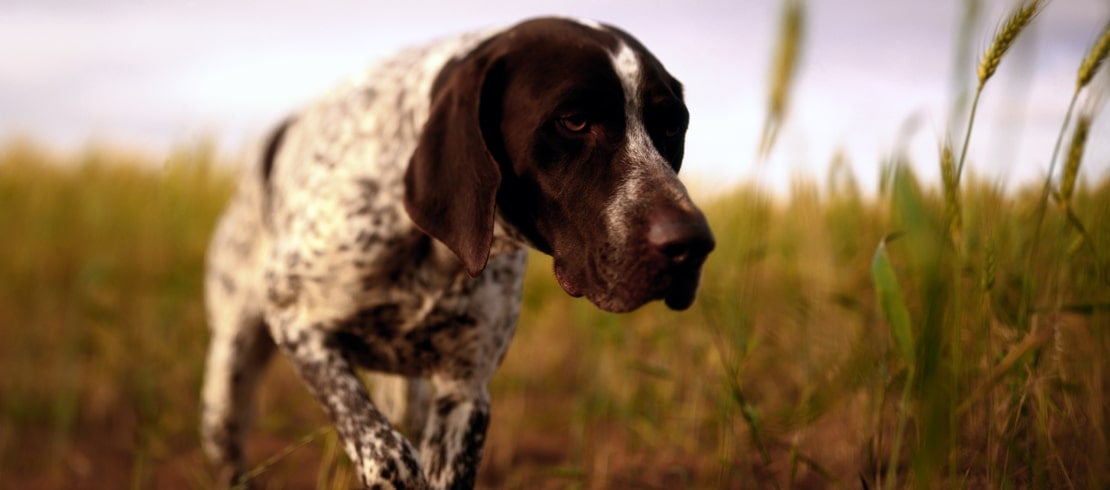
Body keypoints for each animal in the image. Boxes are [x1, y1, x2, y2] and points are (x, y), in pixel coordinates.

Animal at [200, 17, 714, 486]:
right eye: (573, 121)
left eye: (672, 126)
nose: (693, 245)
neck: (432, 251)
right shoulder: (297, 322)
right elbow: (387, 453)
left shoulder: (465, 390)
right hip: (231, 372)